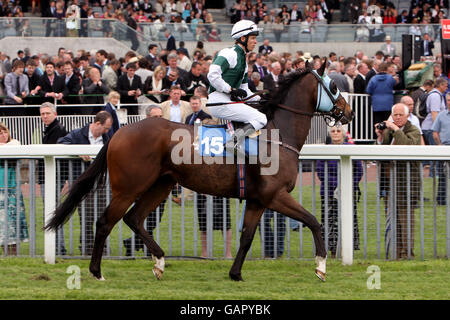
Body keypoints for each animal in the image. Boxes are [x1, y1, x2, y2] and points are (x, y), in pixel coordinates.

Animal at [45, 60, 356, 282]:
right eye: (334, 86)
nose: (349, 112)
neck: (277, 135)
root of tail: (119, 133)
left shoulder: (258, 200)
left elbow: (246, 237)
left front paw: (235, 273)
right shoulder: (275, 195)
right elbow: (314, 221)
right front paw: (321, 266)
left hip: (161, 184)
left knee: (134, 219)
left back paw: (159, 261)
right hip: (129, 187)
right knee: (105, 222)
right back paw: (97, 271)